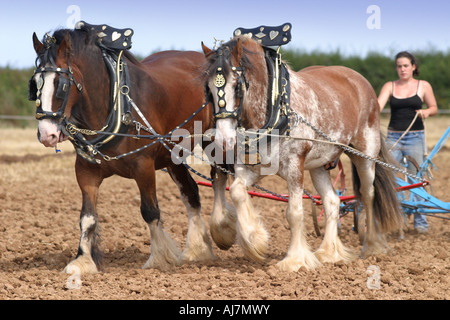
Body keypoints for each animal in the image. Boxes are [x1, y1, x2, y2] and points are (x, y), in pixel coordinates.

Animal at [28, 21, 220, 272]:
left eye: (60, 85)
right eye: (35, 86)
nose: (46, 134)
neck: (114, 105)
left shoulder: (144, 167)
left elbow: (150, 211)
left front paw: (159, 258)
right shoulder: (86, 171)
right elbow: (87, 217)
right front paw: (83, 260)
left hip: (213, 141)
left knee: (221, 181)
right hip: (172, 155)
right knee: (191, 193)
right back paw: (199, 249)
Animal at [202, 25, 402, 272]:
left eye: (236, 86)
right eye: (208, 88)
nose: (223, 139)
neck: (276, 105)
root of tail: (359, 80)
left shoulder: (295, 165)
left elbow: (294, 212)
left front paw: (294, 260)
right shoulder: (251, 167)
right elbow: (238, 192)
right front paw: (254, 242)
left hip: (365, 153)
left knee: (367, 194)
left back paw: (372, 245)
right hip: (318, 165)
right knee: (333, 202)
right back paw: (328, 253)